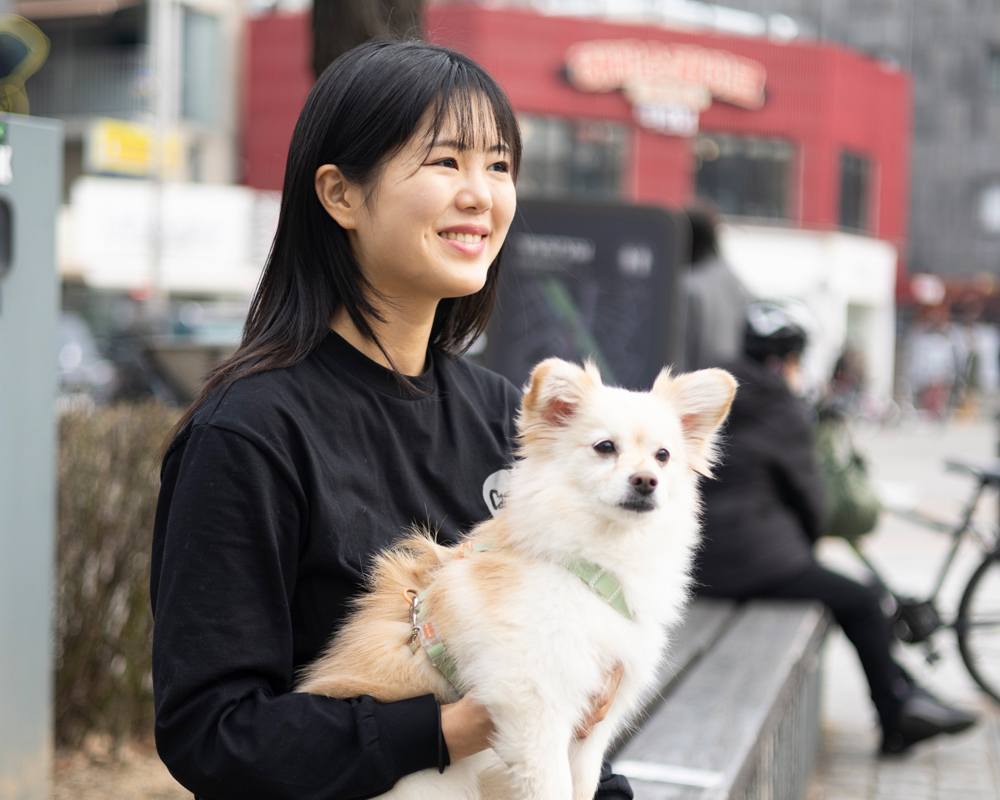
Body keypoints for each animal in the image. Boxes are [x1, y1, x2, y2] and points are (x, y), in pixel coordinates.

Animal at [296, 358, 736, 800]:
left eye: (663, 456)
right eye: (605, 447)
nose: (647, 480)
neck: (594, 563)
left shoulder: (595, 718)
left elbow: (583, 783)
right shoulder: (532, 703)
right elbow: (553, 787)